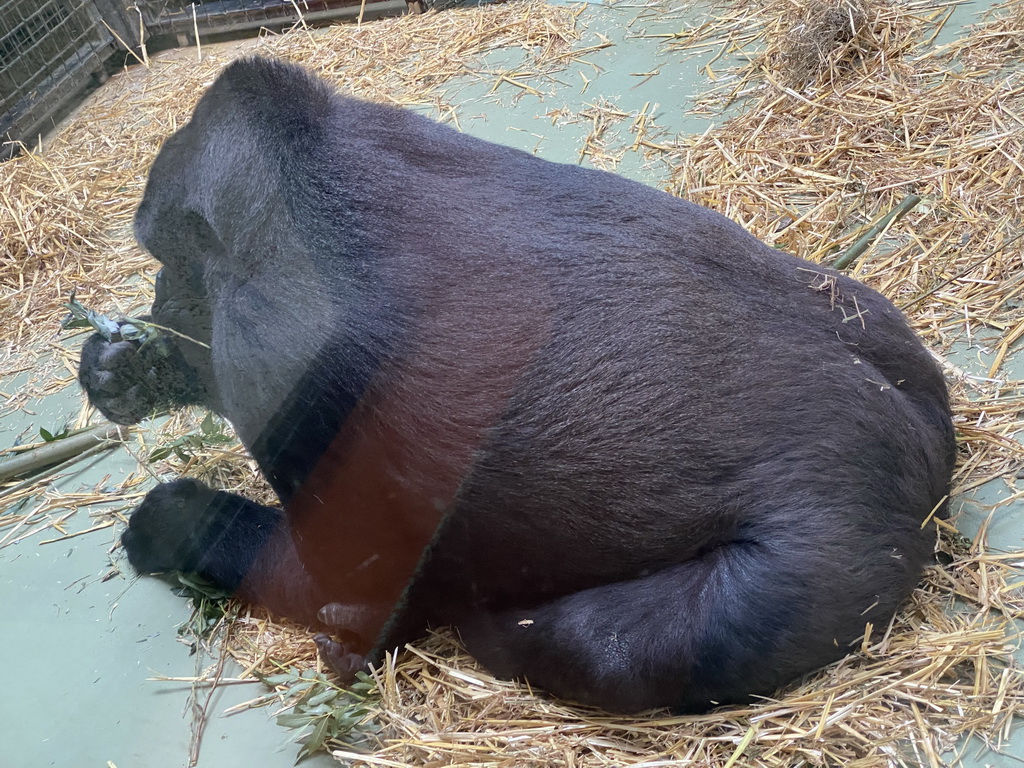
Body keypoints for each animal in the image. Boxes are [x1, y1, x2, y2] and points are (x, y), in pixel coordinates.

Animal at [75, 57, 954, 712]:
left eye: (167, 264)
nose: (156, 302)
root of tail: (930, 445)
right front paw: (127, 368)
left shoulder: (267, 339)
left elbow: (341, 592)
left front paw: (174, 521)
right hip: (866, 315)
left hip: (836, 545)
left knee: (641, 646)